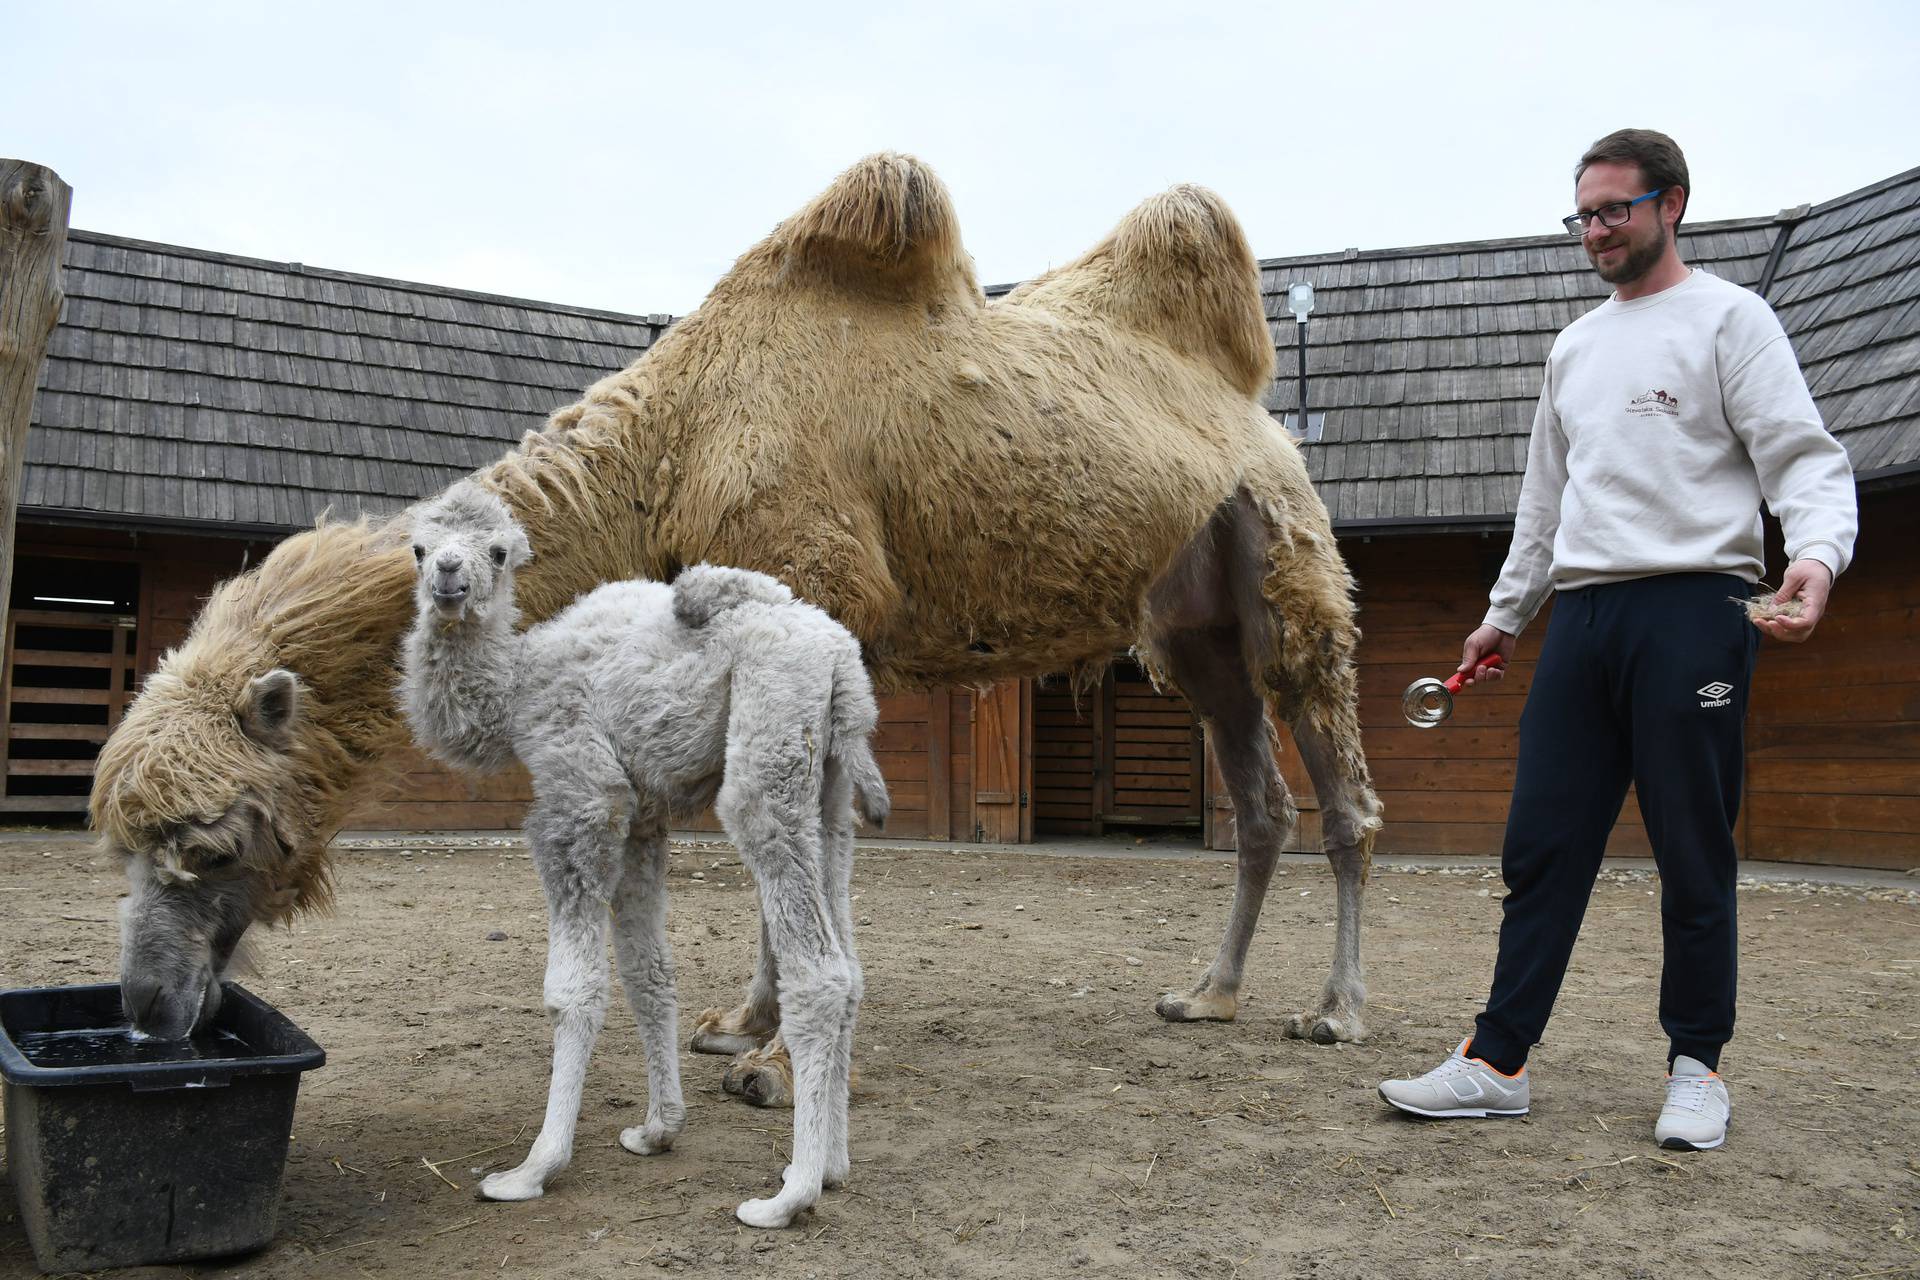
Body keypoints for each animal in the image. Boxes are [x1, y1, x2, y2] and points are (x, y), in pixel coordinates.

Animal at [403, 483, 890, 1228]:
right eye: (420, 547)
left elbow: (572, 991)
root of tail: (838, 657)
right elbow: (648, 972)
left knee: (819, 972)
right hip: (831, 790)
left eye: (498, 551)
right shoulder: (643, 820)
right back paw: (831, 1167)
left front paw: (532, 1169)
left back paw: (789, 1196)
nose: (449, 577)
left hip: (766, 754)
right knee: (853, 966)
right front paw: (658, 1128)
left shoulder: (583, 799)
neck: (516, 690)